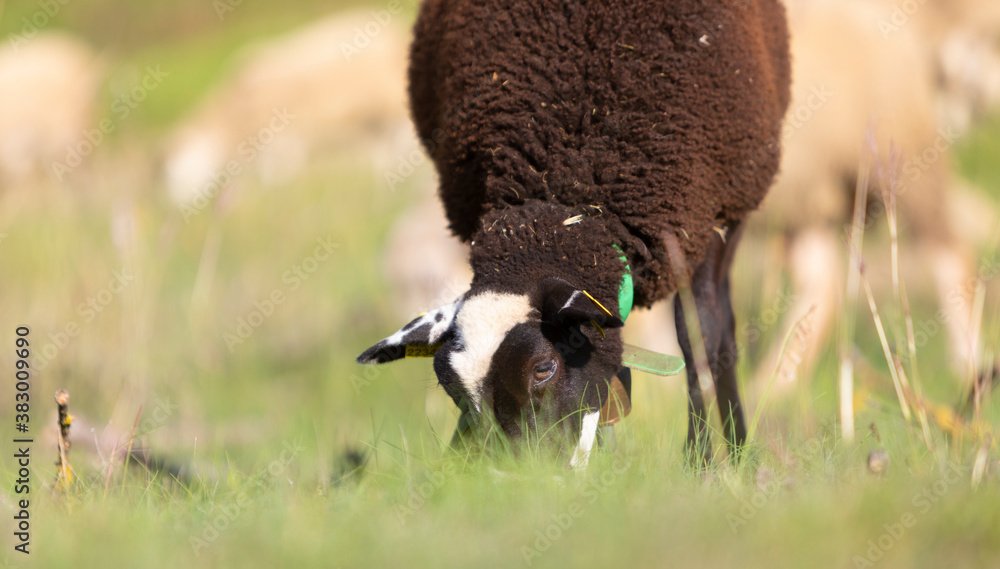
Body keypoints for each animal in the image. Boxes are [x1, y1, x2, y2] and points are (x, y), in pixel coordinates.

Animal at [358, 0, 791, 464]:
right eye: (451, 389)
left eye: (543, 368)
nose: (523, 475)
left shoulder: (700, 221)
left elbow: (700, 337)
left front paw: (702, 463)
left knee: (722, 326)